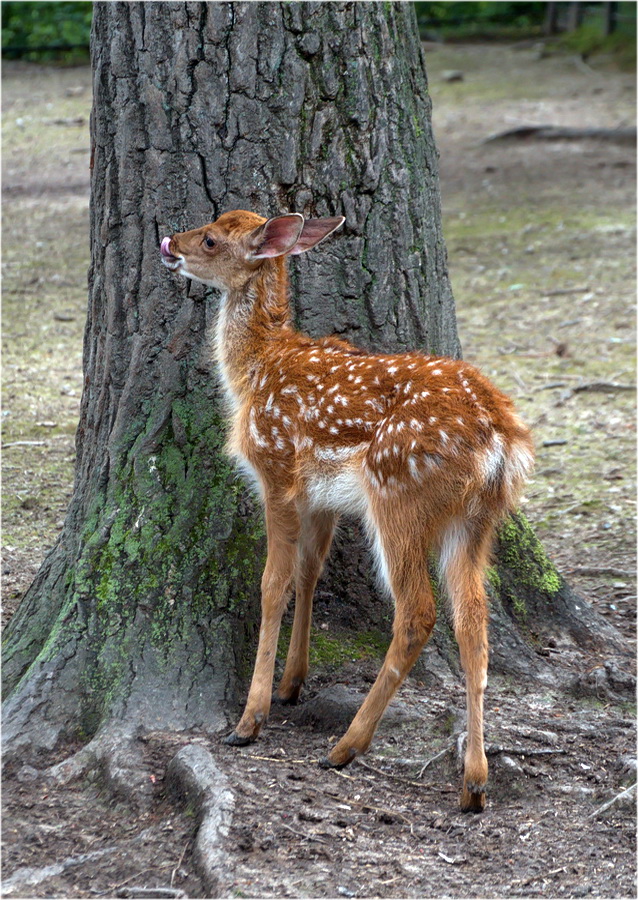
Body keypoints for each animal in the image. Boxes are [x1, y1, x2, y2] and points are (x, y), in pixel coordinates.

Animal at [160, 213, 536, 816]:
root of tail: (502, 440)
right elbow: (308, 573)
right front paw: (291, 683)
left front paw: (250, 719)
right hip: (476, 521)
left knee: (418, 613)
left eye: (213, 239)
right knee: (473, 622)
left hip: (397, 495)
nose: (170, 242)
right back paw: (474, 783)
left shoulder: (276, 472)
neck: (255, 372)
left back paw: (345, 747)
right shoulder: (322, 499)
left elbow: (273, 583)